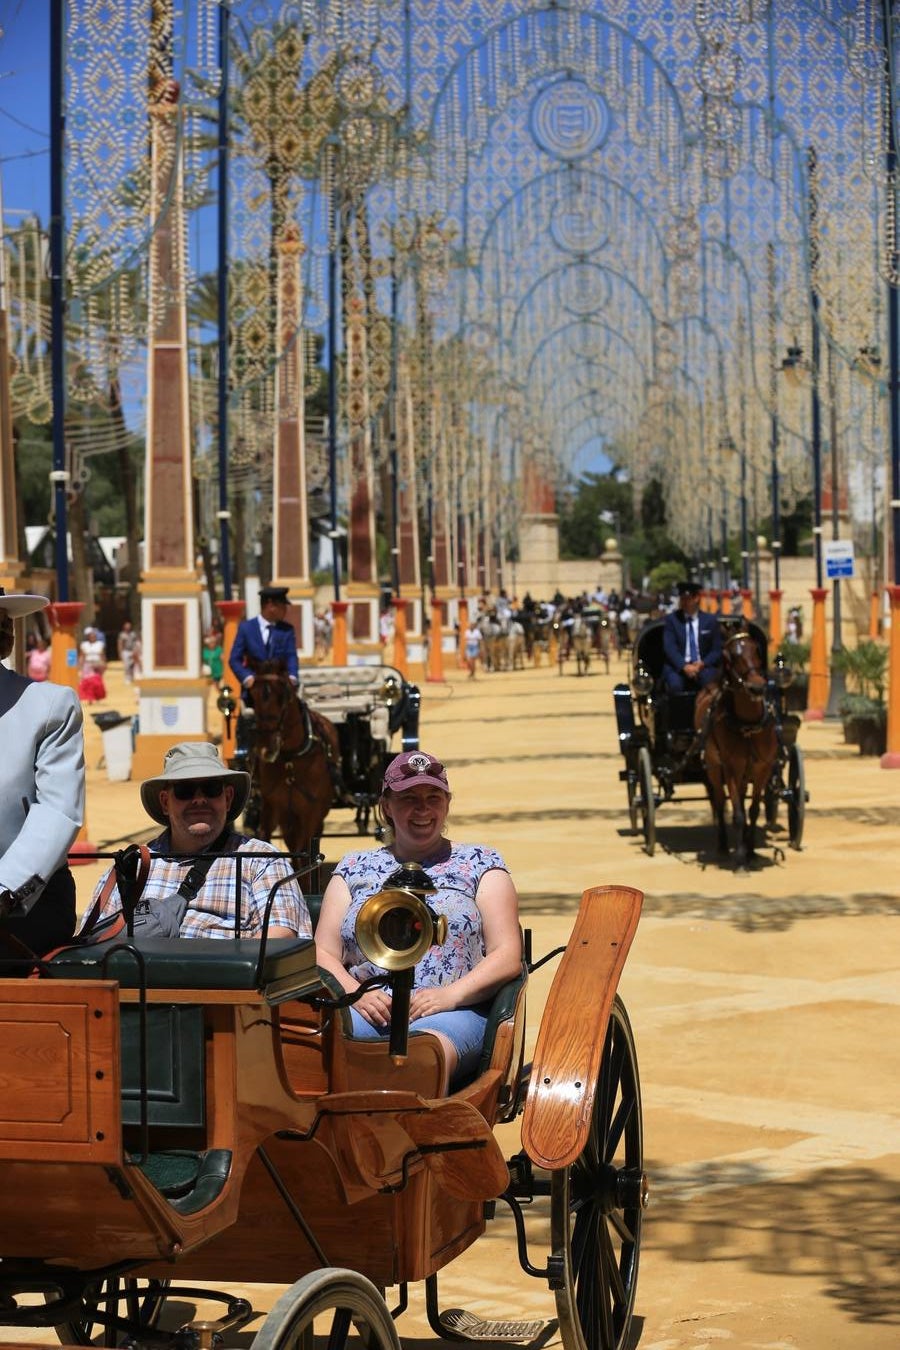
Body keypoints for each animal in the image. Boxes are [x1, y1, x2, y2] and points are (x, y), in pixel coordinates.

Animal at [242, 664, 341, 853]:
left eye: (284, 696)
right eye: (253, 697)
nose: (266, 748)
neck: (290, 759)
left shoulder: (310, 814)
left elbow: (303, 850)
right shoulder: (272, 809)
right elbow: (264, 837)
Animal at [701, 629, 777, 869]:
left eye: (757, 650)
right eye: (730, 656)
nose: (756, 687)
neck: (748, 726)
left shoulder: (763, 768)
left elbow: (752, 810)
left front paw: (750, 850)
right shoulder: (731, 768)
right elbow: (737, 814)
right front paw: (741, 858)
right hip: (715, 768)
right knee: (719, 801)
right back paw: (724, 846)